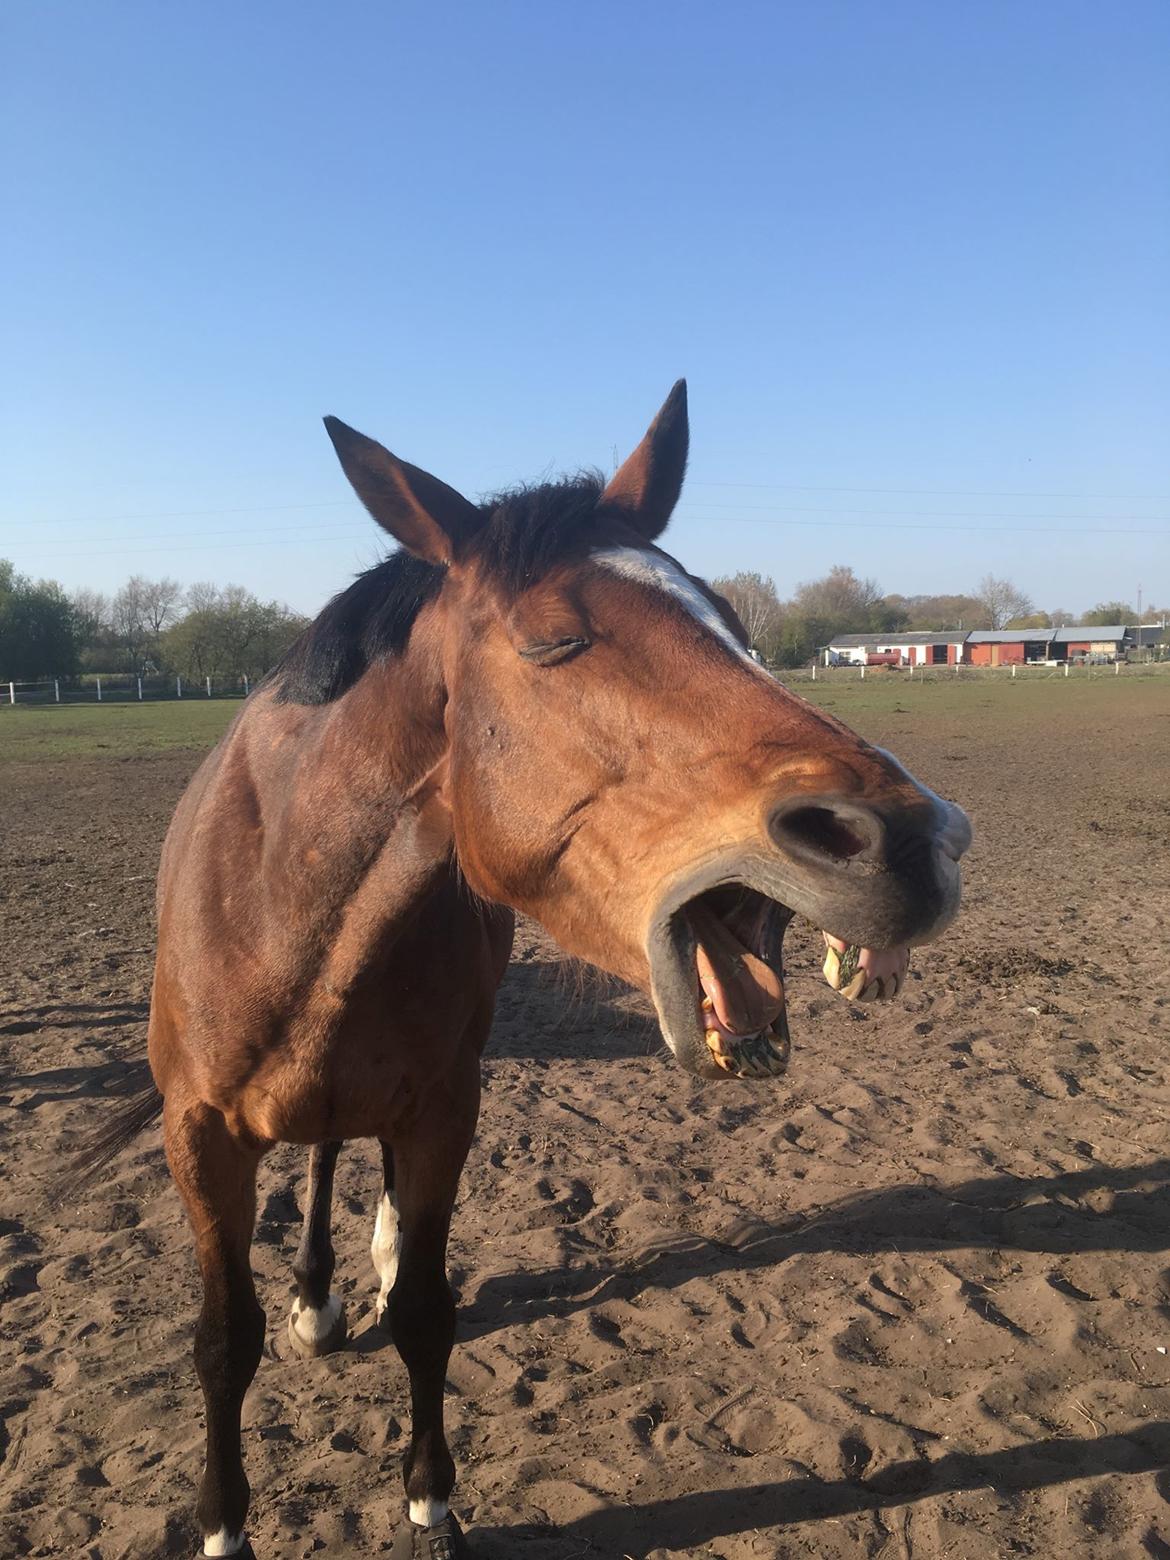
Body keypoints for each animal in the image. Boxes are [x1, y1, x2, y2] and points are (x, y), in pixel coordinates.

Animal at [144, 380, 973, 1560]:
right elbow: (222, 1340)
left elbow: (427, 1312)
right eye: (554, 641)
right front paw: (222, 1527)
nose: (911, 841)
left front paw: (431, 1499)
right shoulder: (200, 1134)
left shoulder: (444, 1108)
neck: (285, 891)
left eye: (733, 626)